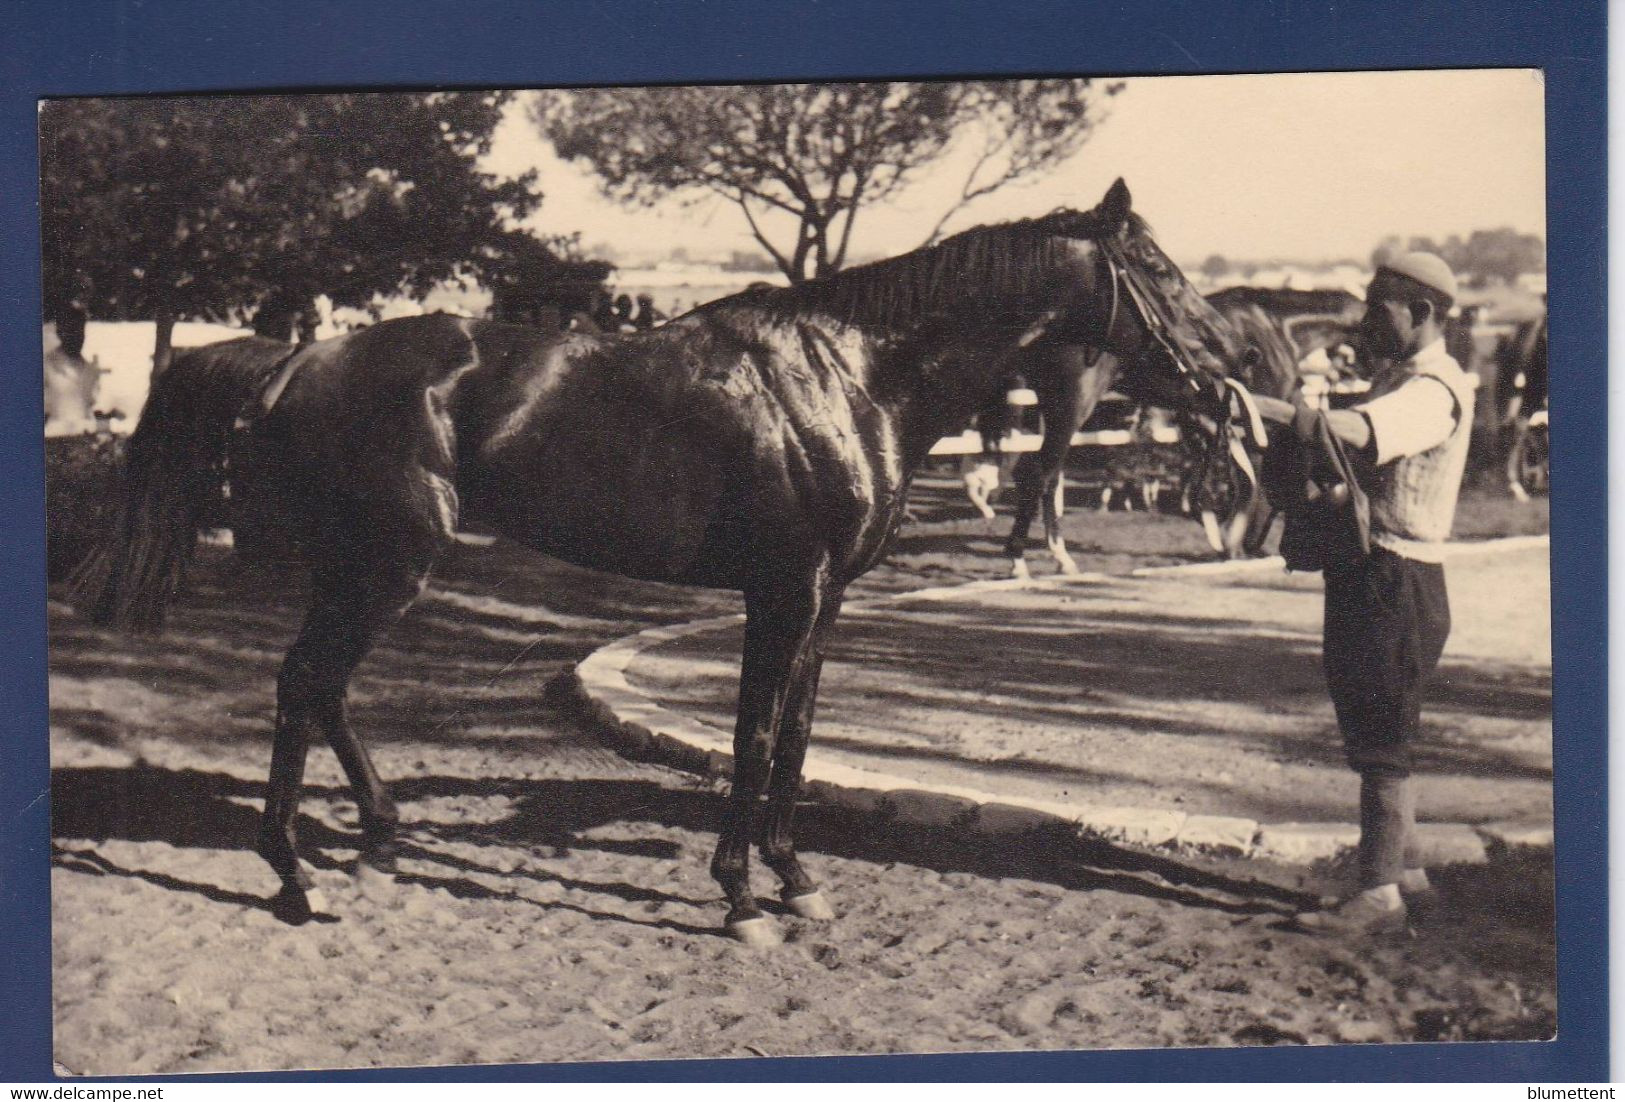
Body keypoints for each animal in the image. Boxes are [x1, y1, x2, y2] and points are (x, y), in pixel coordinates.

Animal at [76, 181, 1248, 949]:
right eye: (1154, 271)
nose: (1232, 374)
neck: (850, 376)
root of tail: (296, 357)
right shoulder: (783, 592)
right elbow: (756, 736)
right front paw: (739, 898)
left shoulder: (822, 602)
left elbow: (793, 740)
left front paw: (795, 880)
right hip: (386, 568)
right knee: (303, 685)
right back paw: (293, 878)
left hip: (358, 569)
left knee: (320, 692)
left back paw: (377, 840)